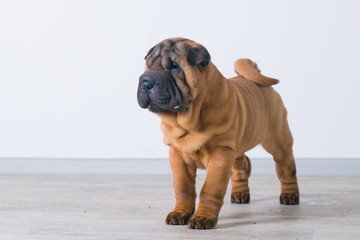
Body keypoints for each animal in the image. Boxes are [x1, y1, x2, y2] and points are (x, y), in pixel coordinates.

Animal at [136, 37, 300, 229]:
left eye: (174, 66)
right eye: (148, 66)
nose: (145, 81)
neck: (189, 121)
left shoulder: (220, 153)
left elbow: (210, 189)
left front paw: (202, 218)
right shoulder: (177, 154)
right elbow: (183, 188)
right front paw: (179, 213)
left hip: (278, 141)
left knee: (286, 168)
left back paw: (290, 196)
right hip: (237, 146)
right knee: (242, 166)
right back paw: (240, 195)